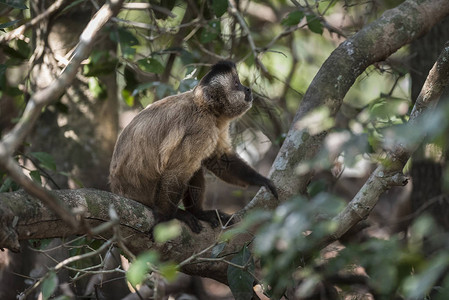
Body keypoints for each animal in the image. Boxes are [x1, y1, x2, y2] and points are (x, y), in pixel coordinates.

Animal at [109, 61, 276, 233]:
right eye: (237, 84)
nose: (247, 89)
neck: (205, 108)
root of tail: (119, 190)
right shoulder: (200, 128)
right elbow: (175, 172)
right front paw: (163, 218)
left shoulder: (216, 125)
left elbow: (219, 160)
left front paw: (260, 180)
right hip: (144, 196)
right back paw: (180, 214)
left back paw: (199, 213)